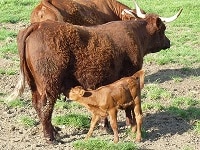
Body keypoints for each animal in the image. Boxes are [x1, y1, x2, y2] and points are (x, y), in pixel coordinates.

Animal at [8, 3, 182, 143]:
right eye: (163, 29)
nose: (168, 42)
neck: (136, 35)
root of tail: (37, 26)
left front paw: (106, 126)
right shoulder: (128, 77)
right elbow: (128, 106)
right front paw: (130, 124)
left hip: (35, 85)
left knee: (37, 105)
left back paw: (54, 131)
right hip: (49, 85)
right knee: (45, 107)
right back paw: (50, 137)